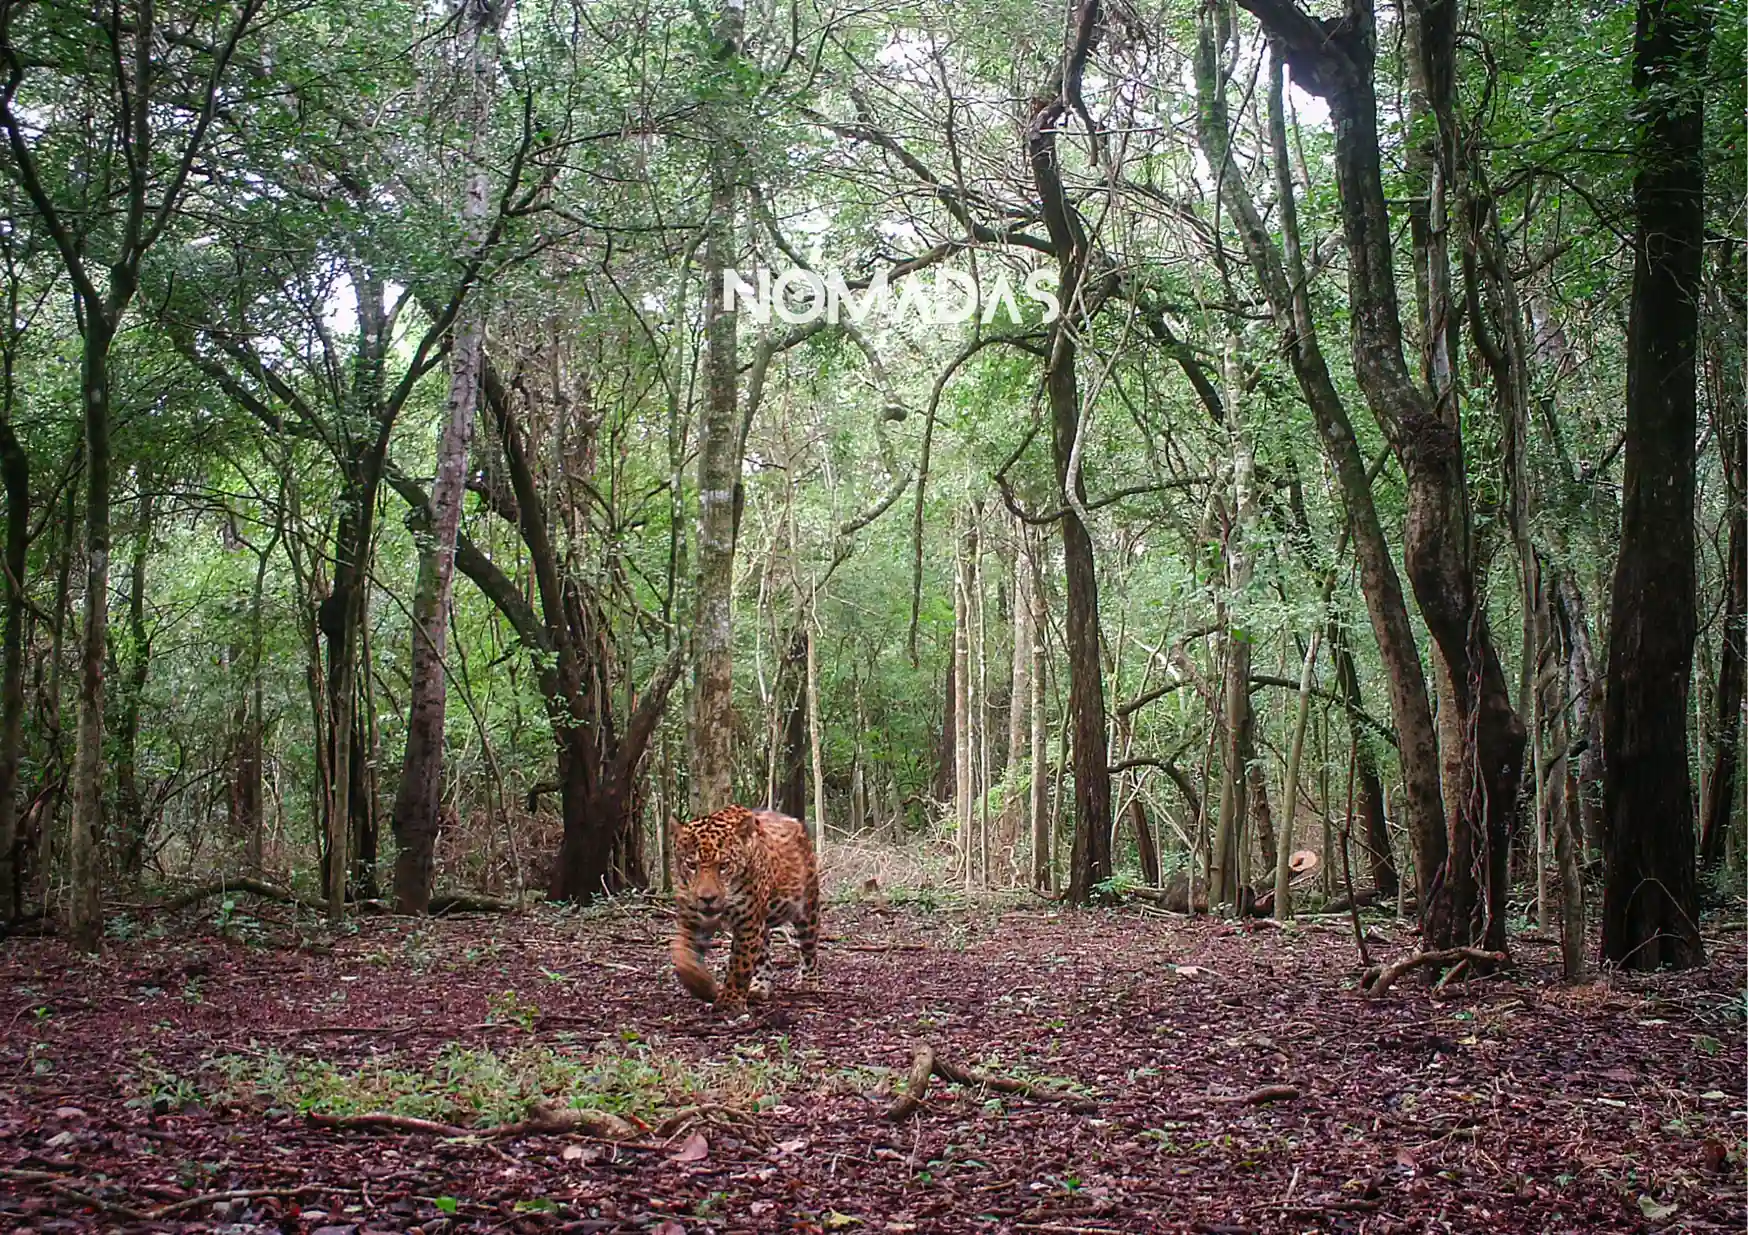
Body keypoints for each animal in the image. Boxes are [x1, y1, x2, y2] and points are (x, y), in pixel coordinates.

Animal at [669, 805, 820, 1013]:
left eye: (724, 866)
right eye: (692, 865)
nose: (707, 899)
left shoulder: (747, 921)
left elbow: (740, 963)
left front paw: (729, 1001)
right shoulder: (692, 920)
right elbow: (681, 953)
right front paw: (703, 986)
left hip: (807, 908)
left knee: (808, 948)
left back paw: (809, 982)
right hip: (762, 924)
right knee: (763, 955)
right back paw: (760, 987)